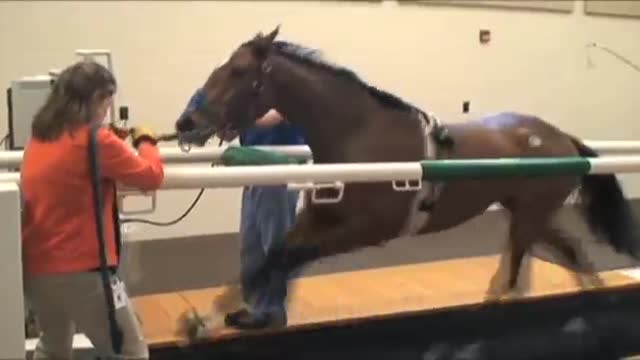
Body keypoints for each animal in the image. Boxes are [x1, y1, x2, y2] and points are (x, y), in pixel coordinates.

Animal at [172, 26, 636, 330]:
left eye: (237, 71)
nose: (186, 122)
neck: (359, 134)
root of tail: (562, 137)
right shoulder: (317, 219)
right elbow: (269, 258)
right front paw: (213, 314)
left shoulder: (367, 229)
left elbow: (285, 257)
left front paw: (211, 320)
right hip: (529, 213)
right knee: (571, 254)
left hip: (529, 216)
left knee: (517, 272)